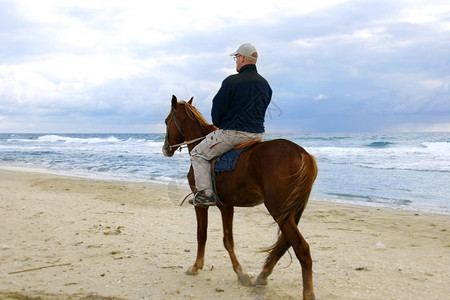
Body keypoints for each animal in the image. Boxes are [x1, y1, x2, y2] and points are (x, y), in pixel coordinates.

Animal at [163, 95, 318, 300]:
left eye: (167, 121)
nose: (165, 148)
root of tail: (302, 153)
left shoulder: (202, 205)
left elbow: (202, 235)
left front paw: (198, 266)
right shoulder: (227, 206)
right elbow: (228, 240)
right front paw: (241, 273)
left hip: (277, 208)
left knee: (302, 248)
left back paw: (307, 292)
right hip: (290, 211)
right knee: (285, 244)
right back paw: (263, 275)